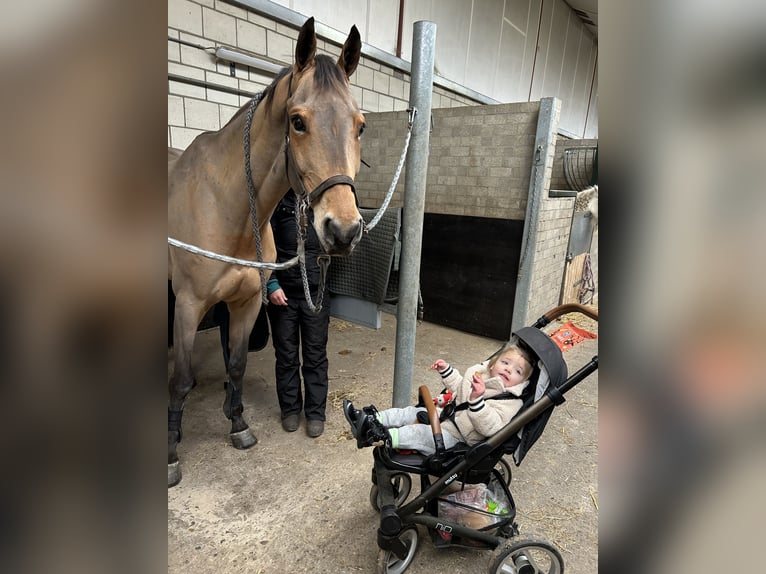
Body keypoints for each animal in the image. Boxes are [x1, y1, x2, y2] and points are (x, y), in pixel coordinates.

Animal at [168, 16, 366, 486]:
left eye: (360, 125)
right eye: (297, 121)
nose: (343, 230)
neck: (226, 206)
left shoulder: (247, 302)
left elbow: (237, 364)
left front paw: (238, 424)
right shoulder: (188, 305)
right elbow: (182, 378)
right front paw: (169, 453)